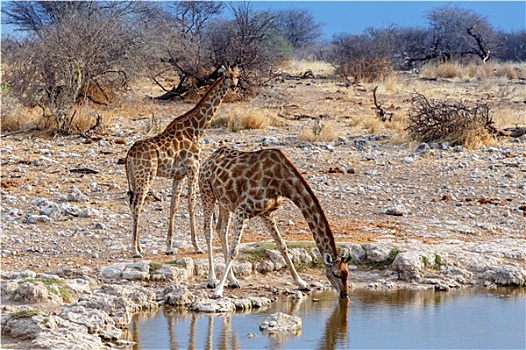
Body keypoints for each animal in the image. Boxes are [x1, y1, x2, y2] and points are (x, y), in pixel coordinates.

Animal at [125, 65, 240, 258]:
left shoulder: (178, 175)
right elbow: (191, 204)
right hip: (146, 175)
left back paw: (139, 247)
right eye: (225, 76)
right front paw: (197, 246)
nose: (233, 86)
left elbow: (174, 206)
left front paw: (169, 247)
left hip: (134, 178)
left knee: (133, 204)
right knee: (137, 205)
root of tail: (129, 155)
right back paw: (135, 250)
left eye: (236, 76)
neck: (195, 130)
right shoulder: (193, 169)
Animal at [198, 147, 350, 298]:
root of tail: (208, 160)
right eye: (335, 274)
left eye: (346, 273)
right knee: (208, 229)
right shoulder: (243, 210)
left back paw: (233, 280)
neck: (282, 182)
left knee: (221, 229)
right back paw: (212, 280)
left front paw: (301, 283)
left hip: (225, 201)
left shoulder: (267, 213)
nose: (344, 295)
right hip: (207, 192)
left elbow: (282, 246)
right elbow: (234, 251)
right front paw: (218, 291)